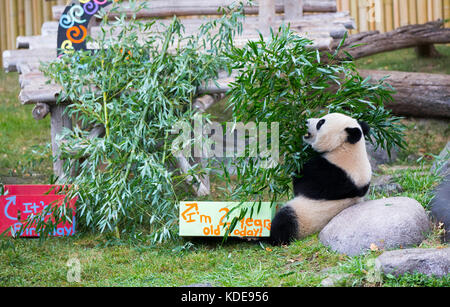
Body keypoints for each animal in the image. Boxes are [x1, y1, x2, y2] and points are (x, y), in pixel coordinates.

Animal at [268, 112, 370, 245]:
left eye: (321, 122)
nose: (306, 121)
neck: (345, 149)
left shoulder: (333, 174)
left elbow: (302, 184)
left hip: (303, 217)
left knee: (284, 222)